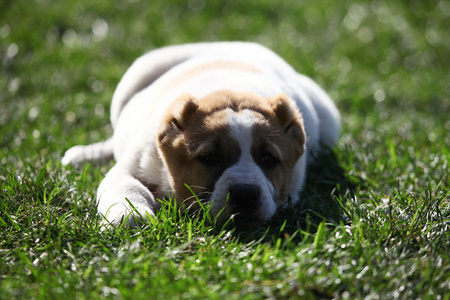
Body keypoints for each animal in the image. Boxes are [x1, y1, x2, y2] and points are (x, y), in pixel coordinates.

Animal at [61, 41, 340, 226]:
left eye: (269, 159)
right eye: (210, 158)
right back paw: (85, 155)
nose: (246, 193)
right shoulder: (129, 167)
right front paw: (129, 215)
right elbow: (125, 186)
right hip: (137, 73)